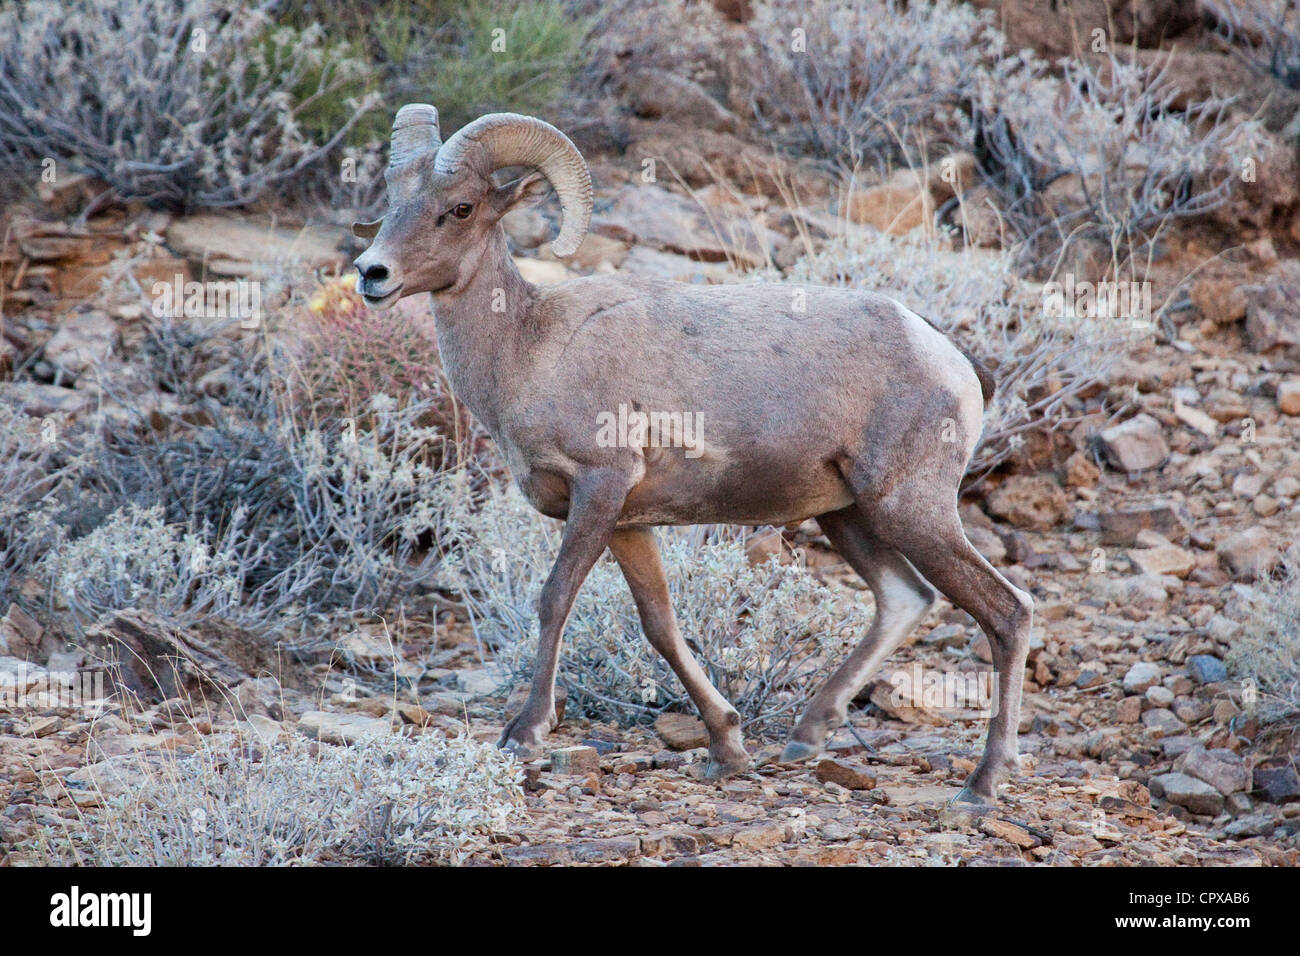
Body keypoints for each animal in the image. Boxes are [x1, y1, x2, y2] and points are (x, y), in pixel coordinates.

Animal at [356, 106, 1034, 806]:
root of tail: (950, 360)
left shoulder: (598, 489)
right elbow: (660, 624)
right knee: (904, 599)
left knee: (1008, 611)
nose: (371, 273)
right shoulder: (628, 525)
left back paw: (982, 784)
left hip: (910, 510)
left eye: (460, 208)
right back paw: (807, 736)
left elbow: (554, 599)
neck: (530, 347)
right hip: (847, 516)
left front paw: (524, 735)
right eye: (391, 202)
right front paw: (727, 748)